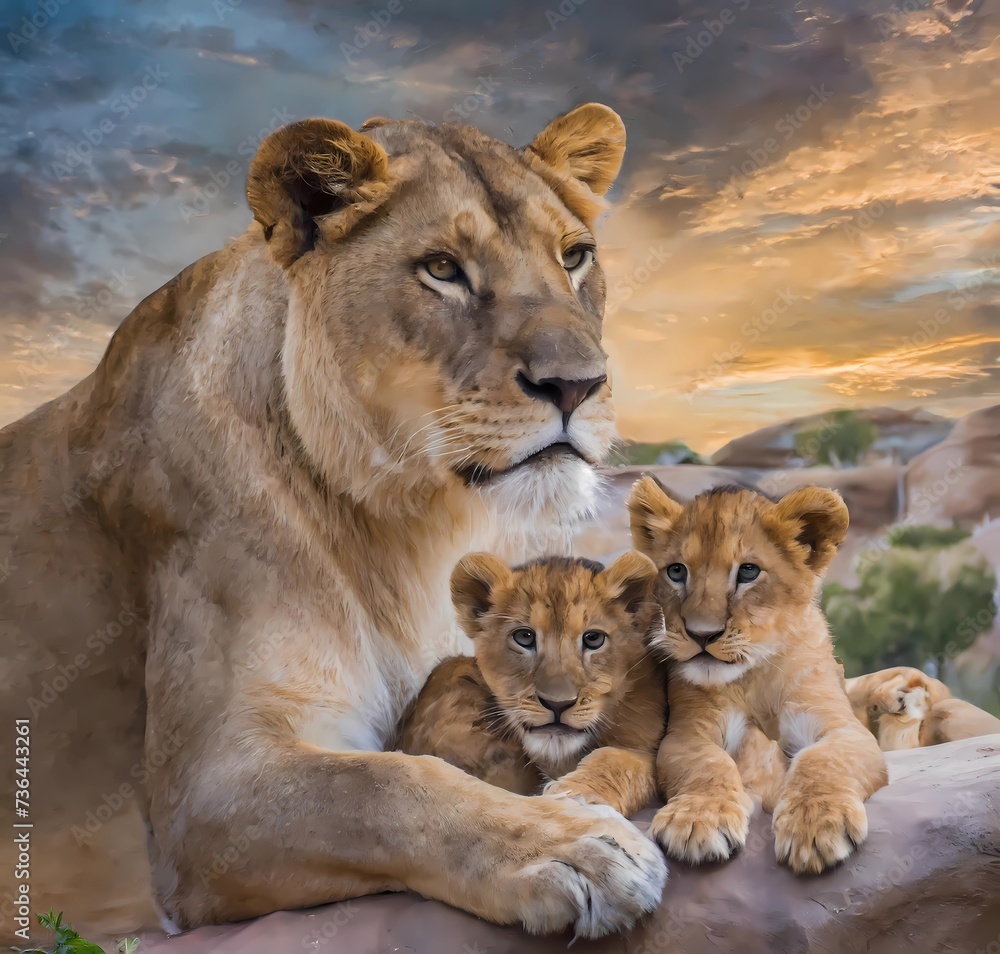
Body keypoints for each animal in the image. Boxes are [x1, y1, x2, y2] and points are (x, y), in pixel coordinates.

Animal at [400, 551, 668, 817]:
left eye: (593, 639)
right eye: (524, 637)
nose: (557, 704)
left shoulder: (647, 749)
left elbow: (619, 763)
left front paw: (573, 794)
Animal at [627, 479, 889, 875]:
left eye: (748, 572)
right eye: (676, 571)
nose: (702, 635)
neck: (755, 675)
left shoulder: (844, 728)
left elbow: (822, 760)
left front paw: (816, 823)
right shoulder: (685, 735)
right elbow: (708, 764)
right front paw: (698, 820)